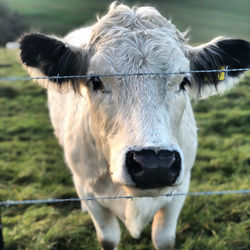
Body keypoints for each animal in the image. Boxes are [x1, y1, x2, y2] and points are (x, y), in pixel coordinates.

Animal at [20, 2, 250, 250]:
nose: (154, 164)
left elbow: (164, 238)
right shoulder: (88, 191)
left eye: (184, 81)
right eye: (95, 81)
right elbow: (108, 238)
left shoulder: (180, 190)